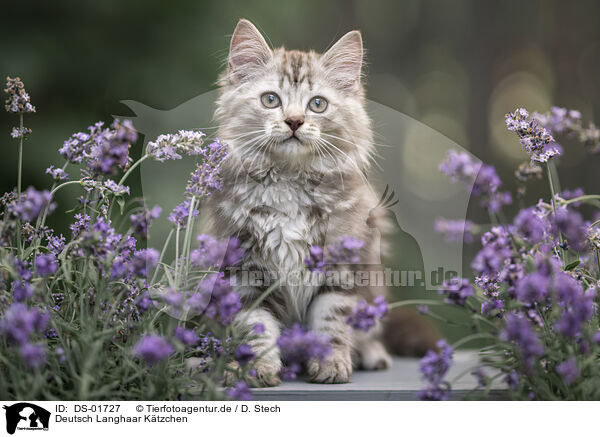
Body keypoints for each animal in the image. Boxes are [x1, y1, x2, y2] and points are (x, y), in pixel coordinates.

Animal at [204, 19, 438, 384]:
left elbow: (331, 322)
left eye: (317, 104)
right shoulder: (245, 269)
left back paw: (370, 353)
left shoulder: (342, 265)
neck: (289, 183)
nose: (294, 121)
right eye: (270, 100)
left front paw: (330, 364)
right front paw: (257, 367)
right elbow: (257, 325)